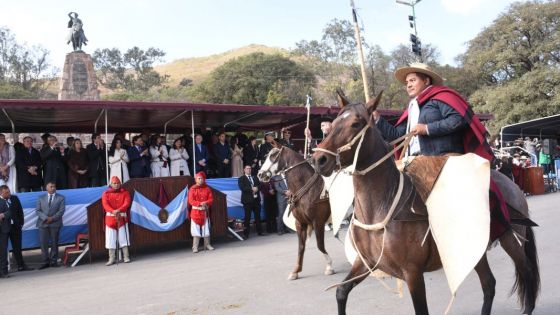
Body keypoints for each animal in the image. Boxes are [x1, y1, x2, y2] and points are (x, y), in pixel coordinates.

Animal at [258, 142, 334, 280]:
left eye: (273, 155)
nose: (260, 174)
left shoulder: (318, 222)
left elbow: (320, 245)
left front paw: (329, 266)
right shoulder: (300, 223)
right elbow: (301, 247)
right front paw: (296, 271)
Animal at [312, 93, 540, 315]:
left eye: (356, 124)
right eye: (332, 125)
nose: (319, 160)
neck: (382, 205)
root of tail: (512, 185)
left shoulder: (412, 272)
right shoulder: (365, 263)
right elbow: (341, 292)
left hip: (512, 239)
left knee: (527, 272)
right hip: (475, 250)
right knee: (489, 284)